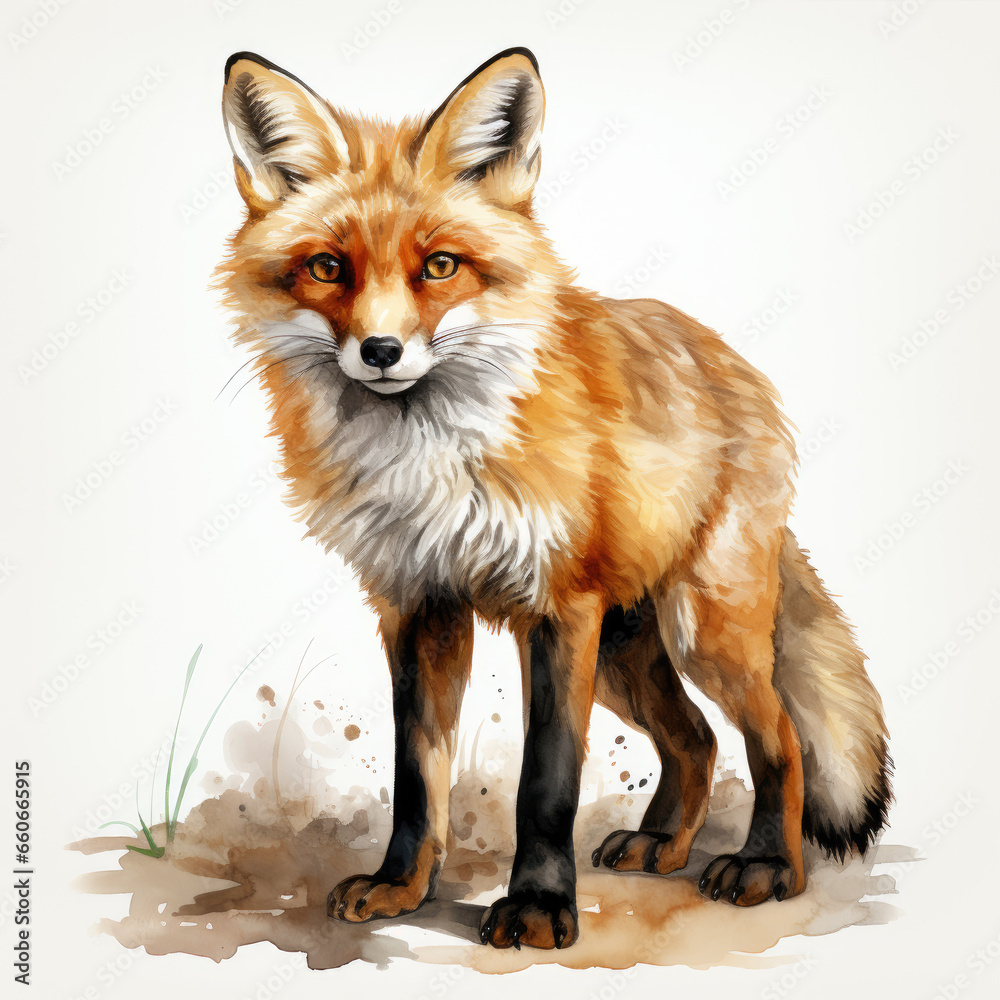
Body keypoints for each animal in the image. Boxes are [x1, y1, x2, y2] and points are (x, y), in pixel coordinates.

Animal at [216, 47, 891, 951]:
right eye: (328, 267)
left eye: (440, 265)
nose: (381, 350)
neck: (430, 459)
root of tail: (733, 364)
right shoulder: (418, 605)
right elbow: (417, 774)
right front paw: (402, 888)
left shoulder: (559, 607)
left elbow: (548, 780)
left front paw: (538, 907)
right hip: (627, 654)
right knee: (697, 740)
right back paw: (662, 844)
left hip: (696, 628)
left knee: (777, 733)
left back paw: (769, 867)